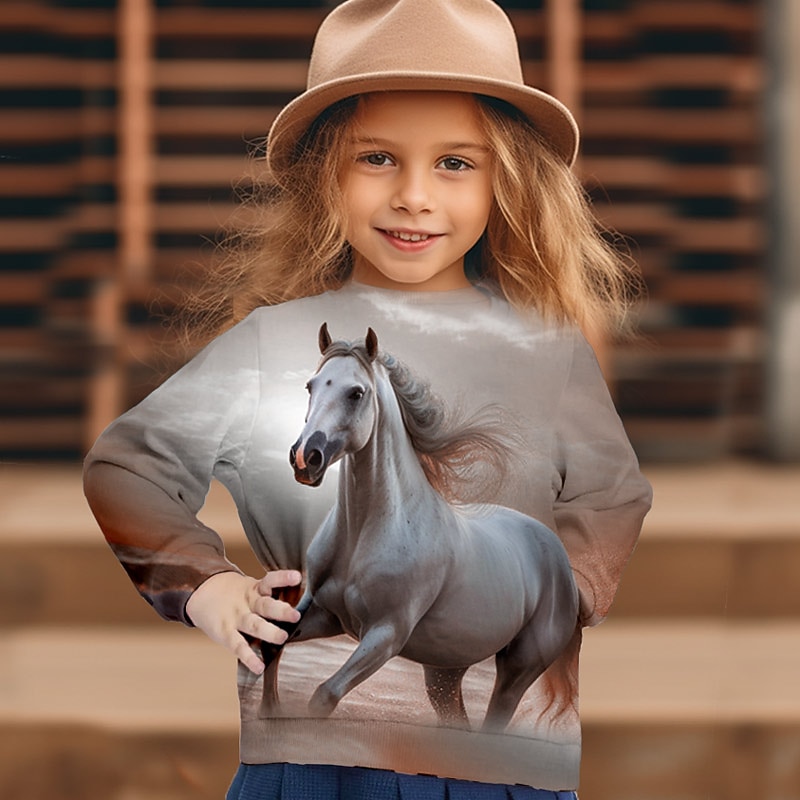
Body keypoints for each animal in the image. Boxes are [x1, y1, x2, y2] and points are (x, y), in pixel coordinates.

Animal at [261, 323, 578, 732]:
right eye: (310, 385)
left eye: (356, 392)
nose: (304, 459)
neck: (369, 532)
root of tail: (560, 558)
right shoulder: (321, 611)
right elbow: (272, 644)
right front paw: (267, 711)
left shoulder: (386, 635)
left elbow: (324, 696)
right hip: (444, 672)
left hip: (518, 669)